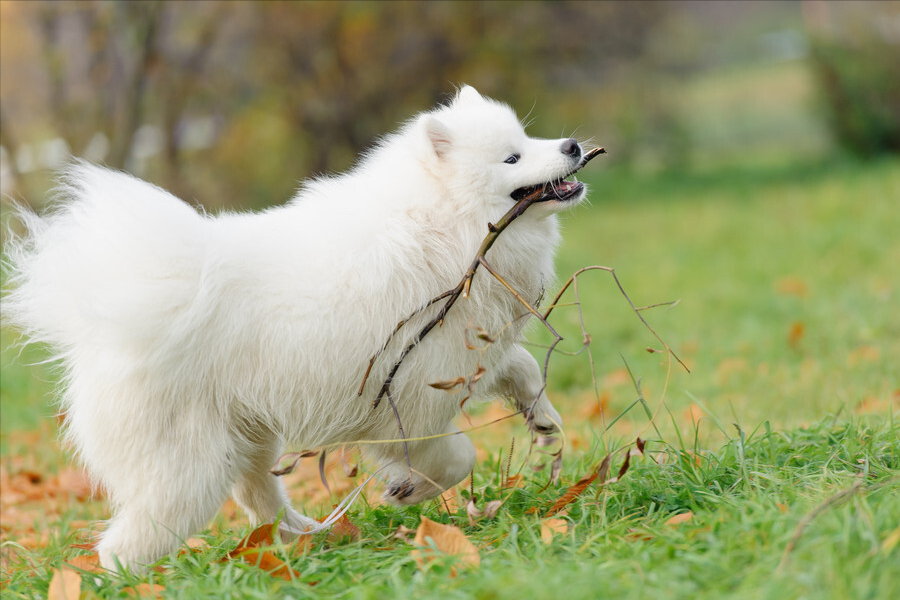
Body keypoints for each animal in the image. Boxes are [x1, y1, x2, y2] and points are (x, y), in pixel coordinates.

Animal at [3, 85, 592, 572]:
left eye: (528, 138)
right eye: (512, 157)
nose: (571, 145)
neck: (441, 226)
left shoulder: (470, 351)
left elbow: (520, 368)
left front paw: (543, 420)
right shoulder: (409, 403)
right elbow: (454, 456)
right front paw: (407, 490)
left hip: (246, 436)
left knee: (259, 498)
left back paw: (307, 537)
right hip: (187, 471)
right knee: (129, 542)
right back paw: (132, 578)